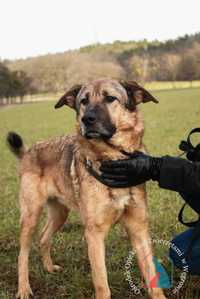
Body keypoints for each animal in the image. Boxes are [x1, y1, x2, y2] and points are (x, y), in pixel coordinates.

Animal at [7, 79, 166, 299]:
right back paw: (23, 288)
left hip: (59, 214)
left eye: (110, 98)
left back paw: (49, 268)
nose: (86, 119)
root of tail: (29, 151)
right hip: (30, 215)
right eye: (84, 101)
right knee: (23, 253)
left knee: (44, 237)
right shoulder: (94, 235)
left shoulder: (139, 229)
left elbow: (152, 277)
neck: (112, 159)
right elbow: (102, 284)